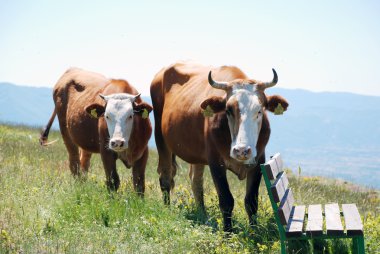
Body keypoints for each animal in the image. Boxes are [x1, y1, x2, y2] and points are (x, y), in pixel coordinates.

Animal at [151, 61, 288, 230]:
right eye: (228, 110)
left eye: (259, 110)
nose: (242, 150)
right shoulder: (215, 162)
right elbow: (226, 200)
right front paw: (228, 232)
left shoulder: (258, 161)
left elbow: (251, 201)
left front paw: (254, 231)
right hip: (161, 139)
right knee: (165, 177)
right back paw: (168, 208)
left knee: (196, 182)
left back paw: (203, 216)